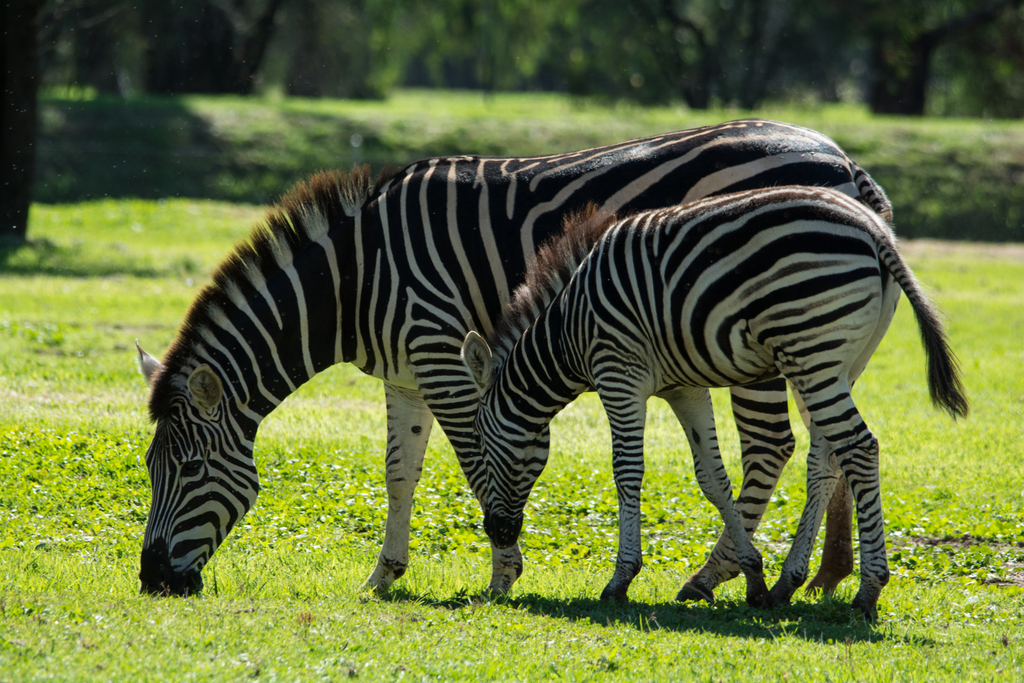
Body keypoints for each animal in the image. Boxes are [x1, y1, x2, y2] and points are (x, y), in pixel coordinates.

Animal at [134, 119, 890, 598]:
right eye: (150, 468)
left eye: (190, 469)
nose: (152, 580)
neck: (357, 278)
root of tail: (845, 159)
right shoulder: (405, 376)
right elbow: (399, 473)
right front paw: (383, 575)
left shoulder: (441, 353)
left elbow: (475, 461)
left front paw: (502, 571)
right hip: (822, 340)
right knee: (828, 445)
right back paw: (815, 577)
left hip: (763, 335)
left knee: (772, 444)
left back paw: (721, 574)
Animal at [460, 186, 968, 617]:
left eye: (479, 446)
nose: (496, 530)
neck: (570, 330)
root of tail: (875, 230)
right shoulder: (683, 387)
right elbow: (713, 478)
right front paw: (753, 576)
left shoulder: (619, 373)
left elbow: (627, 471)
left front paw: (620, 580)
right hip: (838, 363)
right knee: (825, 460)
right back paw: (786, 585)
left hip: (810, 351)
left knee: (861, 448)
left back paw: (868, 592)